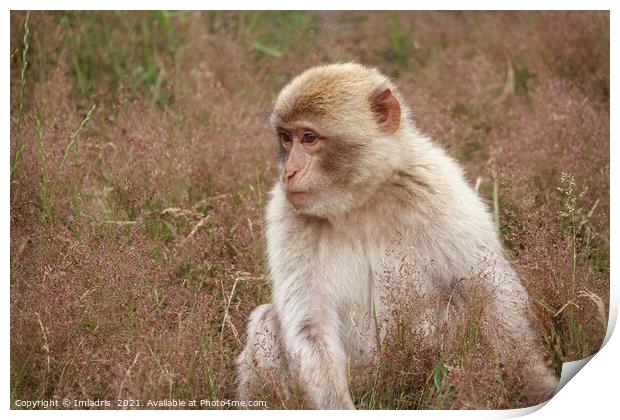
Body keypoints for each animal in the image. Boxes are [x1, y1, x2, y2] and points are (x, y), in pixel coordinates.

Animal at [235, 64, 560, 408]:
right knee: (267, 322)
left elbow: (487, 289)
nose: (289, 172)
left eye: (309, 138)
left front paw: (533, 384)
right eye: (286, 138)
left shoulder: (436, 186)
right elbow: (311, 322)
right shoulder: (286, 214)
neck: (360, 199)